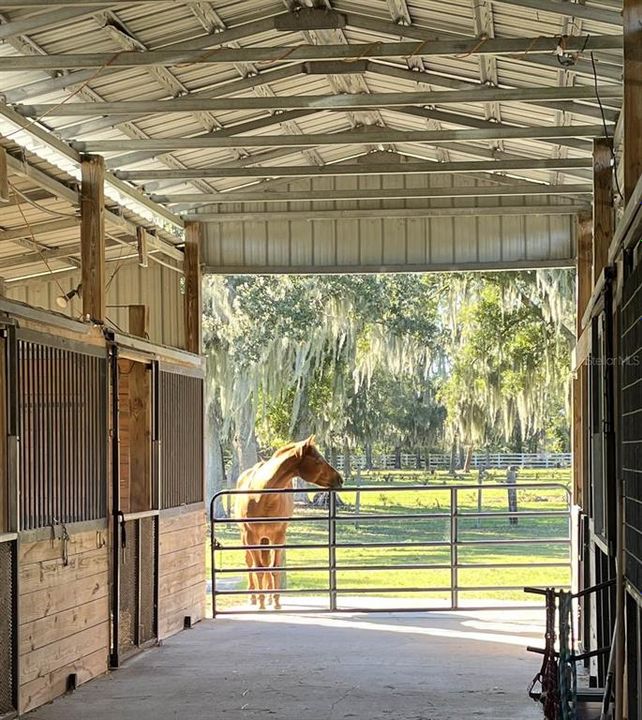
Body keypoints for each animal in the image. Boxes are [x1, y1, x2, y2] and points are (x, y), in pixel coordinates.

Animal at [235, 436, 342, 612]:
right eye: (318, 460)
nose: (340, 479)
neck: (262, 497)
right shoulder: (251, 537)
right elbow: (258, 568)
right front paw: (261, 603)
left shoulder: (278, 537)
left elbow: (274, 567)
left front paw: (276, 602)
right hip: (248, 538)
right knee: (250, 563)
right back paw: (254, 597)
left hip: (267, 539)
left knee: (267, 562)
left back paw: (269, 597)